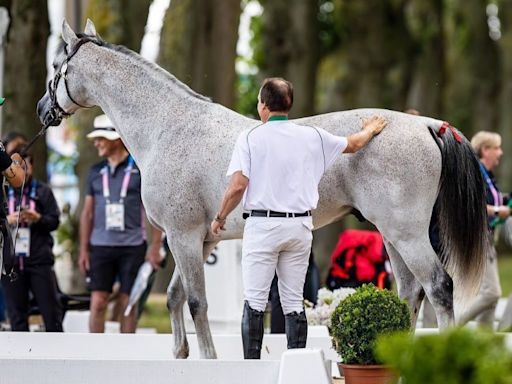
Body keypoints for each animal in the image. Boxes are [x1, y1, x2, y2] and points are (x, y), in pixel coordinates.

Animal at [37, 19, 488, 358]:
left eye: (56, 67)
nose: (43, 110)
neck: (169, 126)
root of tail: (426, 124)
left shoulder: (182, 236)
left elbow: (196, 302)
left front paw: (209, 360)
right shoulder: (198, 239)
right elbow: (175, 297)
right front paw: (181, 356)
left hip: (406, 233)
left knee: (439, 287)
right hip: (392, 235)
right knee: (410, 292)